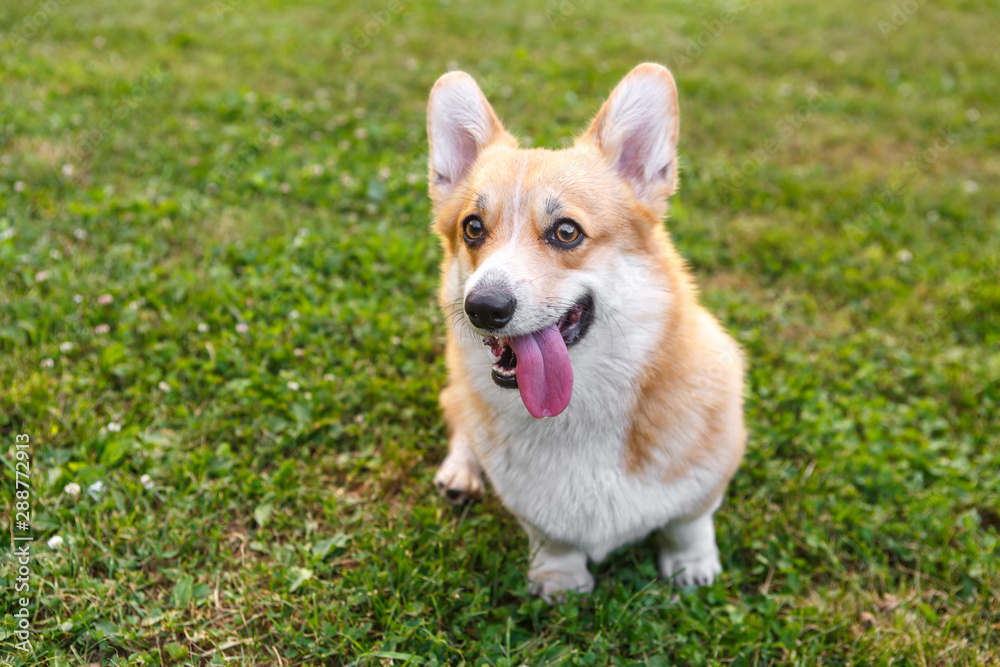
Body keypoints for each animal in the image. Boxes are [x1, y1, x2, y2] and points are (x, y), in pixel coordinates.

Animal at [426, 65, 748, 604]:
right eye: (473, 228)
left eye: (566, 232)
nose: (483, 308)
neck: (579, 411)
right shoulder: (532, 507)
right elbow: (552, 539)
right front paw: (560, 580)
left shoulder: (708, 473)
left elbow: (688, 522)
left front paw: (692, 566)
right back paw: (460, 471)